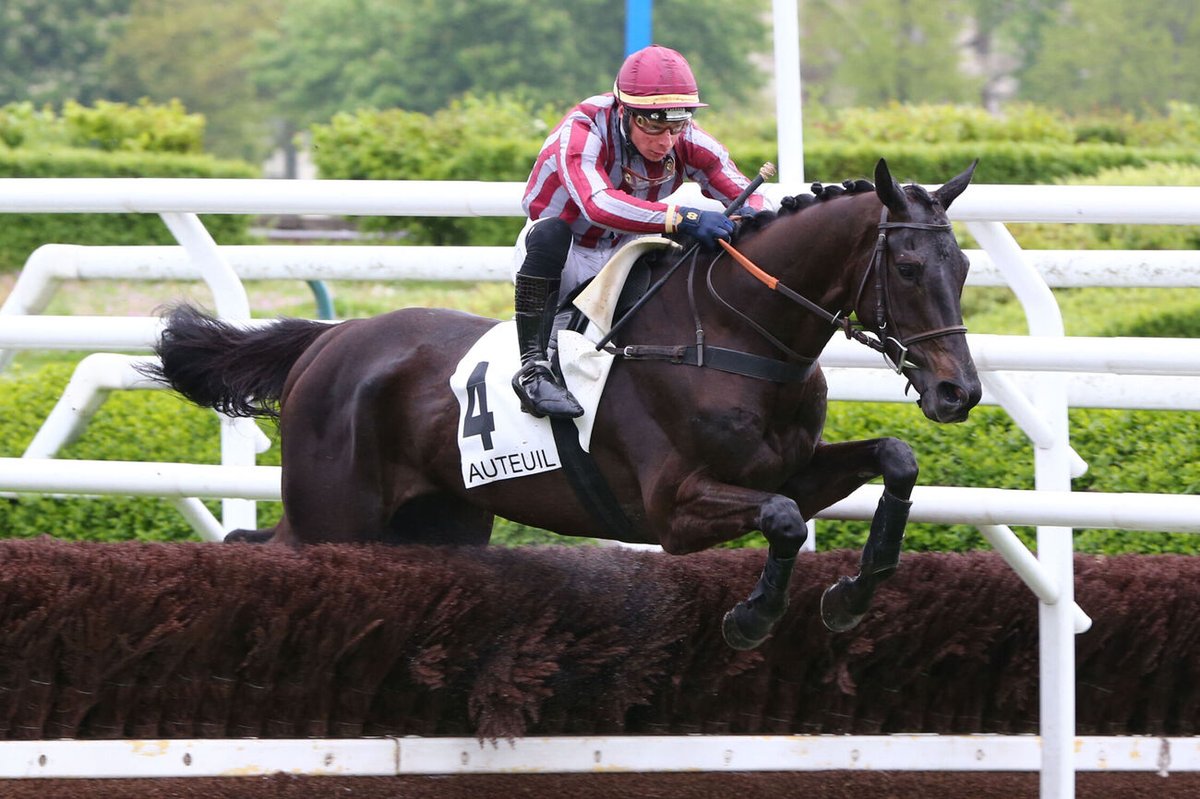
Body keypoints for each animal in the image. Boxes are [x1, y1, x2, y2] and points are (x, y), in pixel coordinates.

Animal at [144, 158, 981, 650]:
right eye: (908, 266)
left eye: (964, 266)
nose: (959, 390)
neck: (734, 335)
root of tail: (329, 338)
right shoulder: (673, 509)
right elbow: (780, 518)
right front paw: (751, 616)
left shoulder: (793, 467)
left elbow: (894, 459)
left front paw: (851, 594)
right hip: (333, 518)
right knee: (254, 548)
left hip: (438, 523)